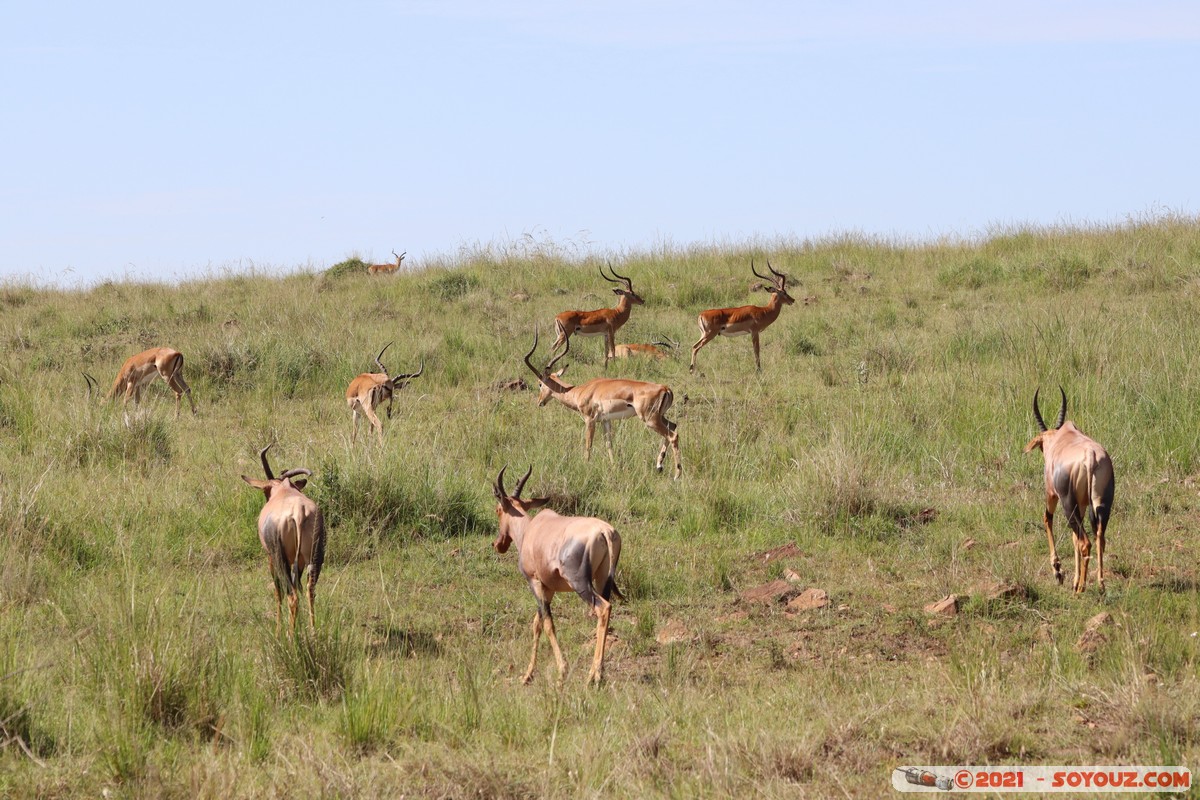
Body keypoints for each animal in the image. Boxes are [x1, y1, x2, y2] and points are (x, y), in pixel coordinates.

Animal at [241, 445, 327, 634]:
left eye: (265, 491)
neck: (284, 491)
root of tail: (299, 511)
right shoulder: (299, 562)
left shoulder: (271, 559)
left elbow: (277, 591)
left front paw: (278, 629)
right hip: (314, 557)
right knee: (309, 590)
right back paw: (312, 631)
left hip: (280, 558)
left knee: (291, 595)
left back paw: (289, 635)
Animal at [492, 465, 622, 685]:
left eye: (498, 510)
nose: (498, 544)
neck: (532, 530)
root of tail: (606, 531)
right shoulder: (549, 588)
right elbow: (536, 623)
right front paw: (527, 675)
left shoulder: (535, 582)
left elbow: (547, 624)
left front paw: (562, 670)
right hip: (603, 579)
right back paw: (599, 673)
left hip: (580, 583)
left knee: (603, 608)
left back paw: (592, 675)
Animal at [525, 329, 681, 479]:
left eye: (540, 384)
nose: (540, 402)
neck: (580, 391)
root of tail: (665, 388)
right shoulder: (606, 421)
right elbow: (609, 444)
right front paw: (614, 467)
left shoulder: (590, 420)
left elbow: (588, 444)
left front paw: (586, 465)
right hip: (659, 417)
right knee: (673, 426)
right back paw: (659, 466)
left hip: (650, 419)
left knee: (673, 435)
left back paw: (676, 475)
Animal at [1023, 387, 1115, 594]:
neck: (1062, 437)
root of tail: (1090, 456)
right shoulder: (1082, 505)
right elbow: (1073, 539)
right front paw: (1072, 579)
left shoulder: (1051, 495)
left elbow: (1047, 519)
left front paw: (1058, 571)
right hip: (1100, 504)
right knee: (1099, 538)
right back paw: (1100, 585)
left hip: (1067, 503)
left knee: (1085, 542)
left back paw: (1080, 588)